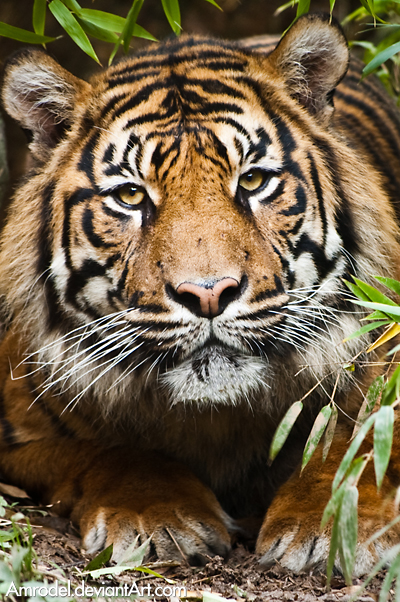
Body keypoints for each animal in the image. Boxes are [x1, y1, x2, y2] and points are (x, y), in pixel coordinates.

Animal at [0, 11, 400, 576]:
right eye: (130, 195)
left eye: (252, 181)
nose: (208, 294)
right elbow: (108, 452)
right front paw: (156, 518)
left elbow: (366, 439)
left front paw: (331, 521)